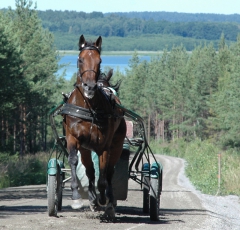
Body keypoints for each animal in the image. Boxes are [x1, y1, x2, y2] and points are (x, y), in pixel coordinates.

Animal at [61, 34, 126, 219]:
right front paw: (77, 198)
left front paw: (103, 199)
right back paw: (92, 199)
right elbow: (74, 162)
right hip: (85, 148)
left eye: (99, 60)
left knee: (109, 172)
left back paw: (108, 201)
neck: (88, 108)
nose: (89, 87)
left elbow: (103, 174)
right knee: (90, 170)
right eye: (80, 59)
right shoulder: (73, 138)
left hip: (117, 145)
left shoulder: (104, 145)